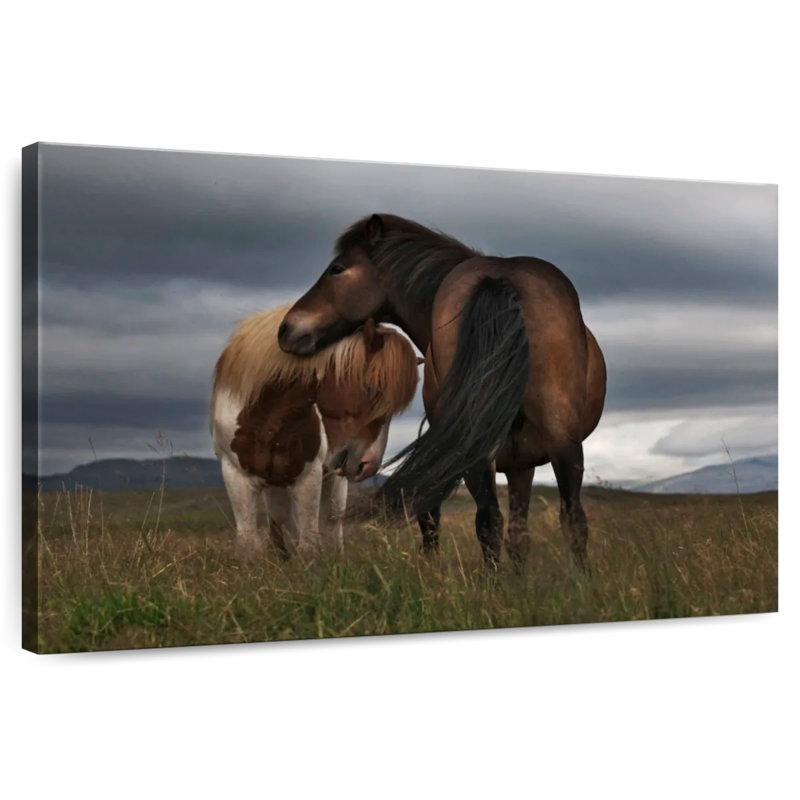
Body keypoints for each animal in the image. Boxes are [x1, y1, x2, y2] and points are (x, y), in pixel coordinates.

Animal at [211, 303, 419, 556]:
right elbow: (249, 544)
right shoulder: (235, 476)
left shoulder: (308, 477)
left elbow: (309, 543)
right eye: (372, 388)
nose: (368, 465)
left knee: (331, 526)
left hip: (332, 482)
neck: (266, 420)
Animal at [278, 214, 606, 569]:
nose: (285, 329)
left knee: (495, 521)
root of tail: (500, 279)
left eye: (337, 268)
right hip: (555, 441)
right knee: (565, 519)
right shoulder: (521, 465)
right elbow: (519, 537)